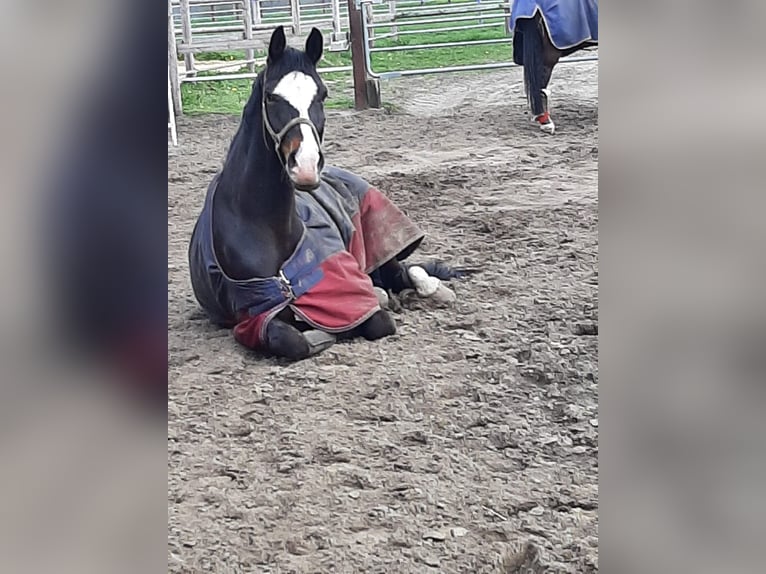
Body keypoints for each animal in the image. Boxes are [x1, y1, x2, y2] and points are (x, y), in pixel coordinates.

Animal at [188, 26, 466, 361]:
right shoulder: (254, 318)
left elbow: (377, 320)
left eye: (322, 94)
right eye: (271, 96)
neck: (261, 225)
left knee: (405, 272)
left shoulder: (348, 294)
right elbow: (289, 339)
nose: (306, 166)